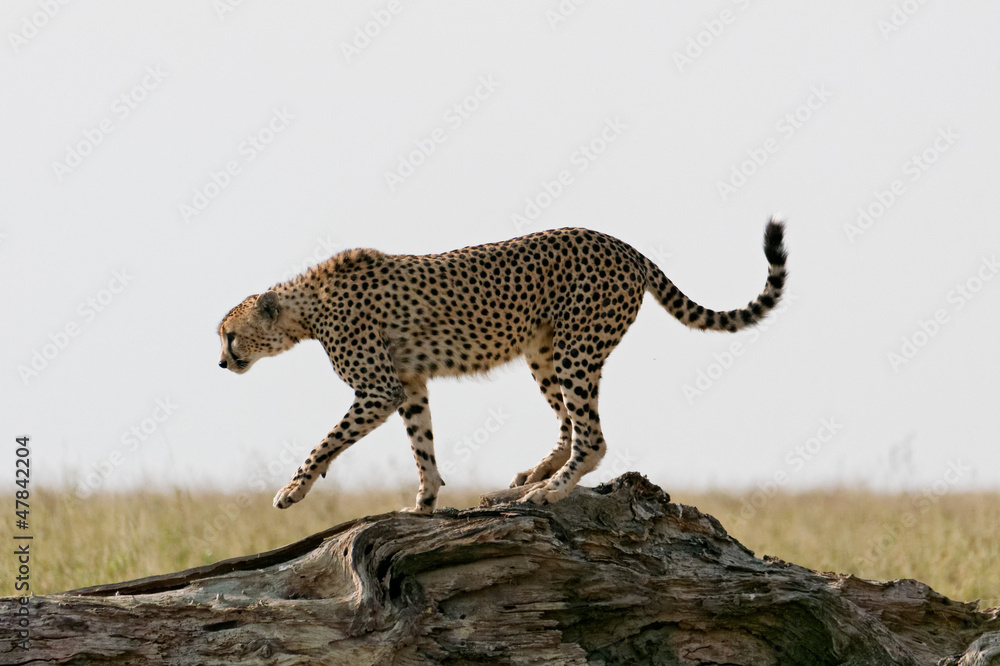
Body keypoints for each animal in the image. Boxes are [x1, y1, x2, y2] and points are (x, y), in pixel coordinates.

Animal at [218, 219, 787, 513]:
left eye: (229, 334)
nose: (221, 362)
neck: (305, 307)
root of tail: (620, 243)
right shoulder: (410, 383)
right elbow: (421, 443)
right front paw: (425, 502)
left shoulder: (379, 389)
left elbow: (327, 440)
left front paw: (292, 489)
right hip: (543, 351)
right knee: (568, 424)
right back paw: (529, 478)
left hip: (576, 348)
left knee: (592, 436)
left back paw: (549, 491)